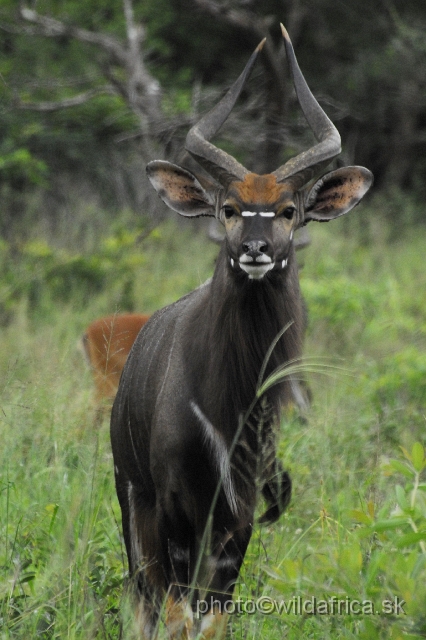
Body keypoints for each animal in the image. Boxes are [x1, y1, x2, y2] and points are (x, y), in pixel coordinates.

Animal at [110, 26, 372, 640]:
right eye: (229, 208)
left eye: (288, 211)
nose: (255, 249)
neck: (227, 404)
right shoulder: (176, 509)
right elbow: (180, 615)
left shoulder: (239, 516)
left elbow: (214, 618)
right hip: (133, 504)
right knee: (143, 600)